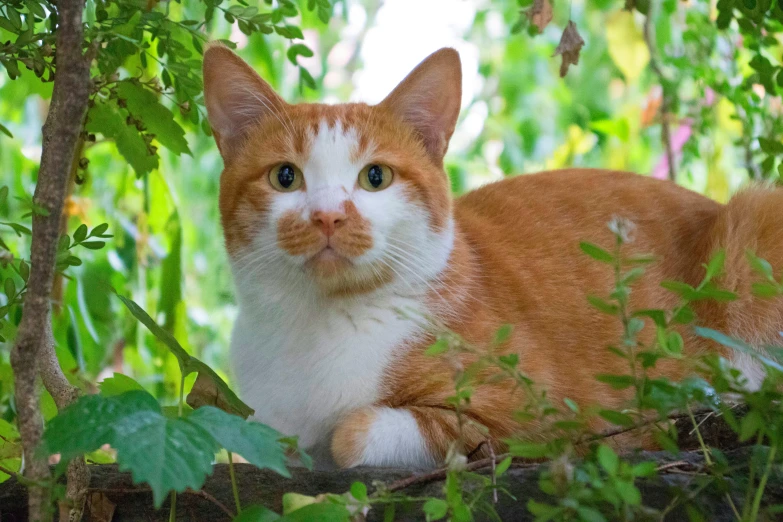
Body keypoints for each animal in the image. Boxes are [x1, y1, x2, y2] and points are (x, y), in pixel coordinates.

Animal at [202, 44, 783, 468]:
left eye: (375, 177)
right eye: (285, 177)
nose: (327, 217)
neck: (319, 322)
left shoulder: (540, 420)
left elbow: (353, 433)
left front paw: (335, 436)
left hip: (755, 224)